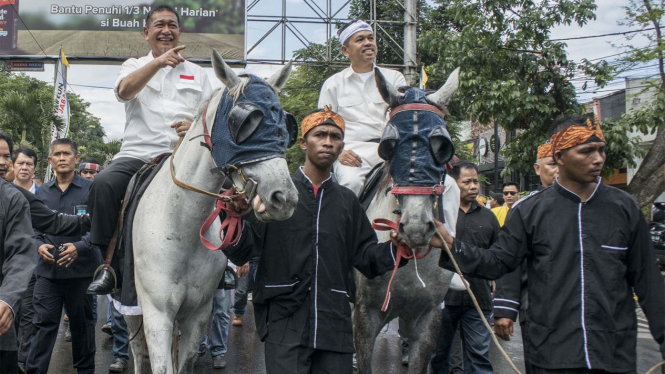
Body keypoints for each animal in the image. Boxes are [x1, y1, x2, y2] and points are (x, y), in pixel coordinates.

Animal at [124, 50, 298, 374]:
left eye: (285, 125)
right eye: (243, 123)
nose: (284, 198)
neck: (181, 228)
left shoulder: (197, 315)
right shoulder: (157, 314)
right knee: (136, 349)